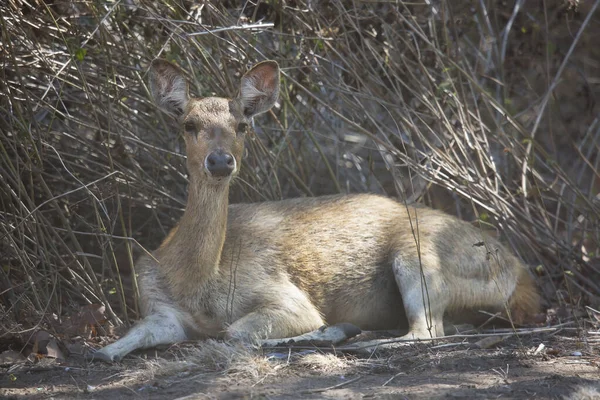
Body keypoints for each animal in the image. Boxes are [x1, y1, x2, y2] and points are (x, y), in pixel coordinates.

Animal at [86, 58, 540, 362]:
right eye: (189, 125)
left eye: (242, 125)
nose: (219, 161)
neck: (193, 280)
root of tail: (523, 279)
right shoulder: (157, 307)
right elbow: (111, 349)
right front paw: (102, 351)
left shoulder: (283, 294)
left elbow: (236, 332)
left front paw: (327, 329)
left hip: (420, 256)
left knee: (425, 330)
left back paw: (353, 334)